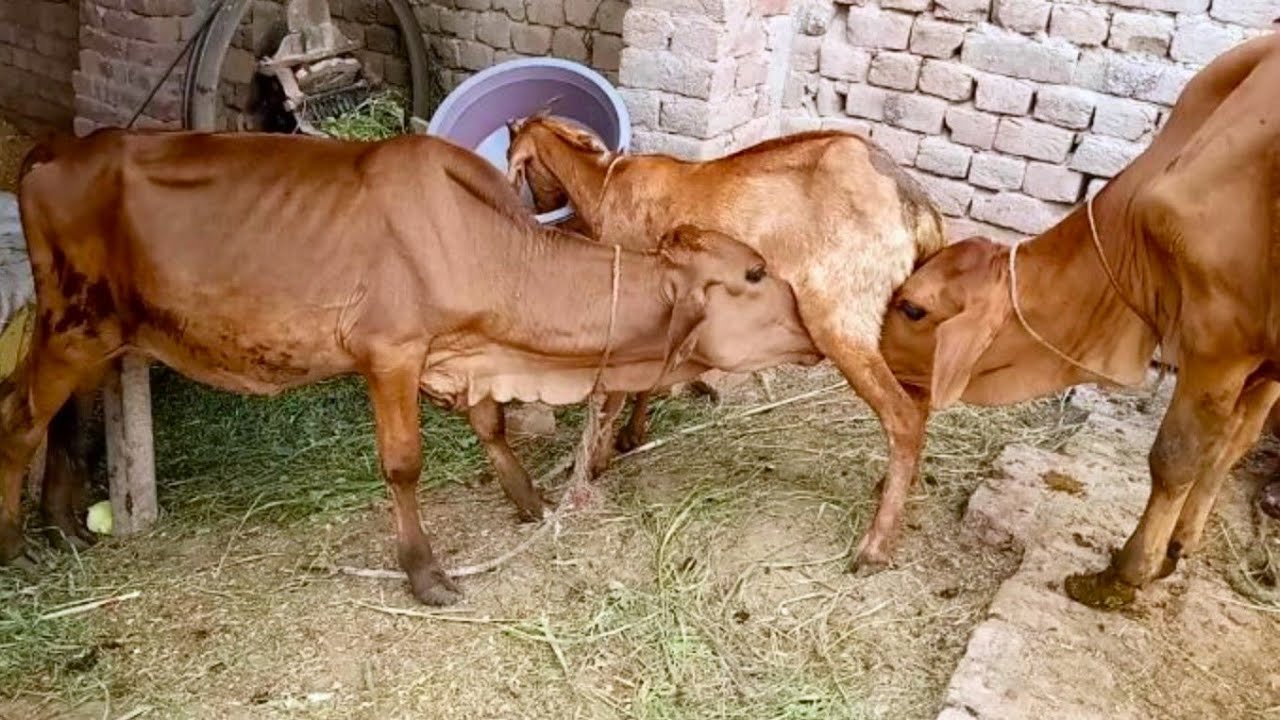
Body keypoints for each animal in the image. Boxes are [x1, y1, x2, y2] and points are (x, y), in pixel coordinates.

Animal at [0, 128, 820, 605]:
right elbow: (403, 464)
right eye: (754, 273)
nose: (817, 327)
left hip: (102, 330)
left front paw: (529, 501)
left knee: (67, 417)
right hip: (73, 324)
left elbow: (491, 425)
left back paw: (65, 522)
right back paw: (15, 543)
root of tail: (52, 151)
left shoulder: (453, 354)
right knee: (20, 419)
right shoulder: (391, 354)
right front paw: (425, 573)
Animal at [877, 32, 1280, 608]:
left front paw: (1123, 574)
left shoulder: (1220, 340)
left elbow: (1177, 455)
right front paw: (1179, 546)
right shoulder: (1266, 363)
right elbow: (1232, 446)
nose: (871, 355)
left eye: (913, 308)